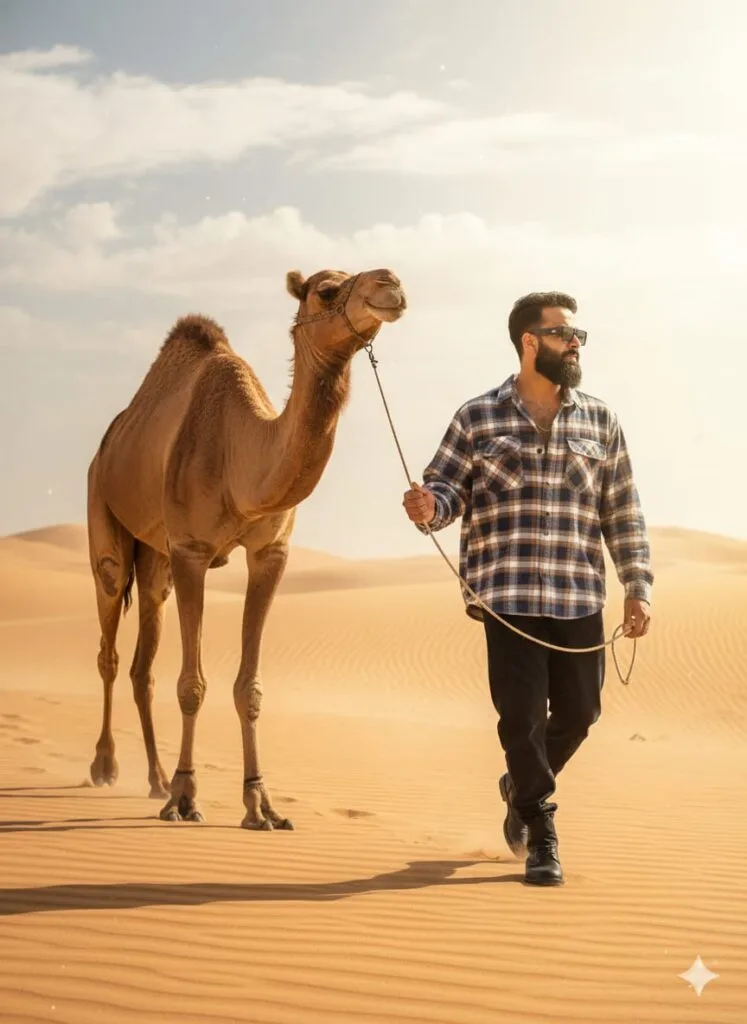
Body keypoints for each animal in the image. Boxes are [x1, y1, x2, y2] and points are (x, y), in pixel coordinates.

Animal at [86, 266, 407, 829]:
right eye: (326, 289)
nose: (390, 282)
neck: (241, 457)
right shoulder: (191, 549)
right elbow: (192, 685)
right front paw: (186, 797)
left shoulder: (269, 554)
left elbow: (248, 687)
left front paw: (261, 804)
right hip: (106, 520)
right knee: (109, 641)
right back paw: (108, 767)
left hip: (156, 559)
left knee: (142, 665)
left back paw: (154, 778)